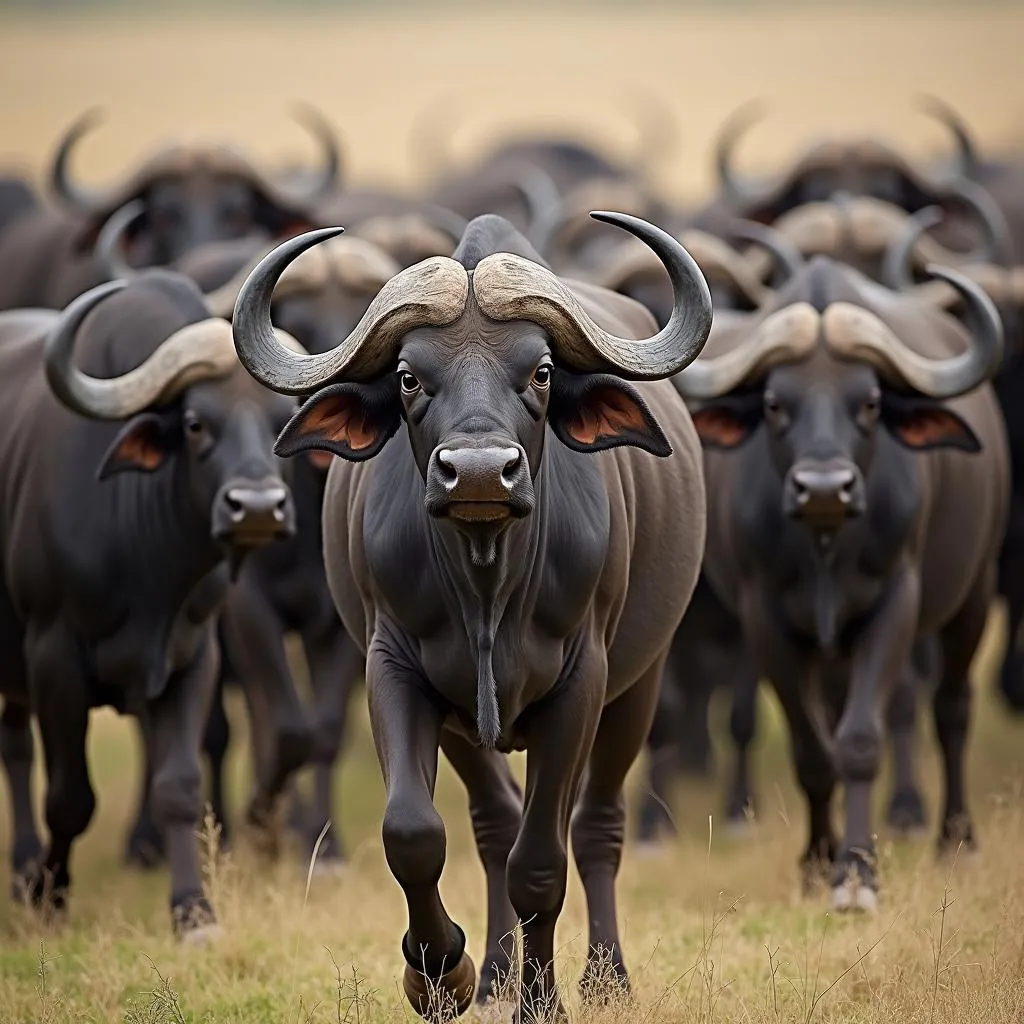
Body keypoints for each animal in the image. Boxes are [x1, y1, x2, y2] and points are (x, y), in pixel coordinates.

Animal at [0, 272, 299, 937]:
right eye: (194, 421)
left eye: (280, 422)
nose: (258, 508)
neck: (148, 574)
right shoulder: (53, 660)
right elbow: (69, 798)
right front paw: (51, 895)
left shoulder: (194, 657)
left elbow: (179, 787)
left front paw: (193, 910)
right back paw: (26, 867)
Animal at [232, 211, 712, 1019]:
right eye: (408, 377)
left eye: (542, 372)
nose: (481, 473)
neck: (489, 587)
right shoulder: (396, 670)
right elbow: (415, 833)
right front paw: (441, 973)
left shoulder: (582, 683)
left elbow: (543, 860)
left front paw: (542, 1000)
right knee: (495, 825)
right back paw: (491, 973)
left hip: (641, 681)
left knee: (596, 826)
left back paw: (605, 977)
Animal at [675, 251, 1003, 909]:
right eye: (775, 403)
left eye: (871, 401)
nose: (825, 488)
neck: (825, 546)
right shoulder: (765, 620)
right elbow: (812, 752)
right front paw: (817, 860)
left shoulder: (896, 606)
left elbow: (858, 742)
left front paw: (856, 873)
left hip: (973, 595)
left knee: (952, 708)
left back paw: (957, 835)